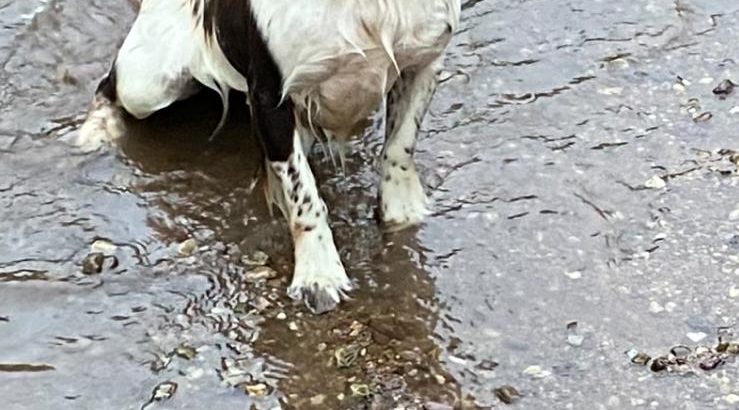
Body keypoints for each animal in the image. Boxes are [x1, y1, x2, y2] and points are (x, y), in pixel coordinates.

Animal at [75, 0, 456, 314]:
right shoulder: (270, 96)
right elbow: (303, 196)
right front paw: (318, 274)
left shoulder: (425, 59)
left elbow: (400, 145)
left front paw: (402, 211)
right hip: (146, 82)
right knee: (108, 85)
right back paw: (96, 130)